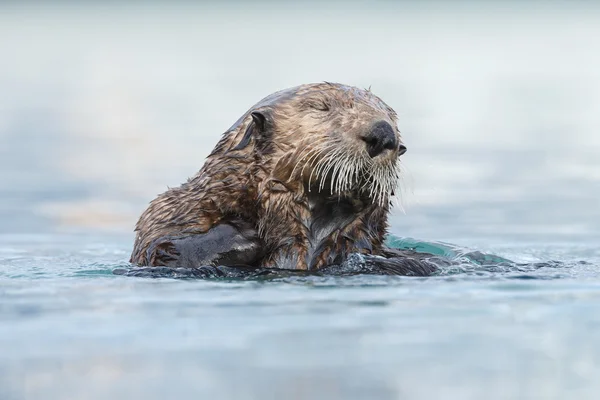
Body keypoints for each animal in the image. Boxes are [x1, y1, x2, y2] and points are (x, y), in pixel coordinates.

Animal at [126, 83, 436, 276]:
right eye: (322, 107)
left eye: (392, 119)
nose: (383, 133)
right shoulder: (166, 215)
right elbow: (162, 249)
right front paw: (246, 231)